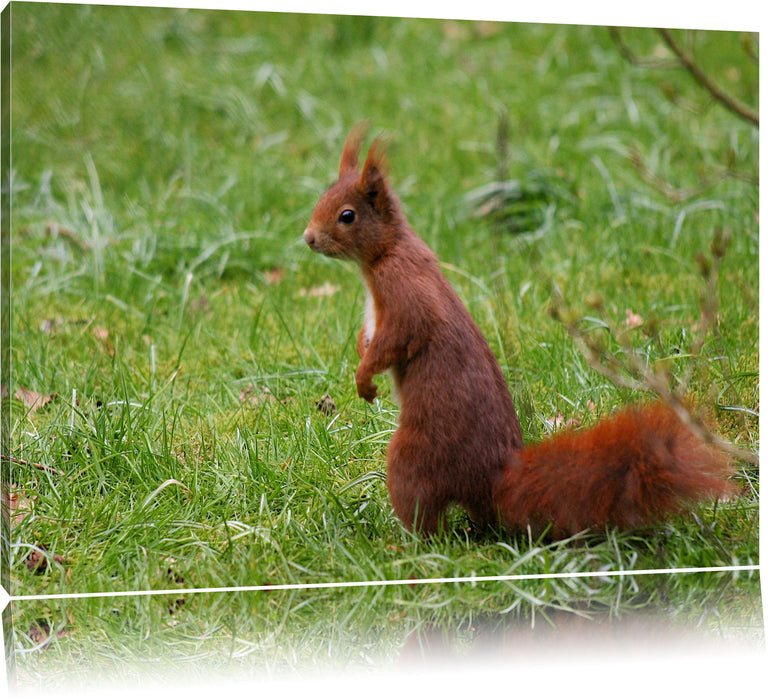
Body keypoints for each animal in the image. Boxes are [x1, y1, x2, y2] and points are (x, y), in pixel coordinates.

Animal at [302, 124, 732, 536]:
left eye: (347, 215)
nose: (308, 239)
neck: (383, 255)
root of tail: (493, 480)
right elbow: (369, 339)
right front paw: (363, 364)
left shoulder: (406, 295)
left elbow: (395, 341)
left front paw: (363, 379)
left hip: (415, 457)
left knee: (424, 514)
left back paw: (404, 541)